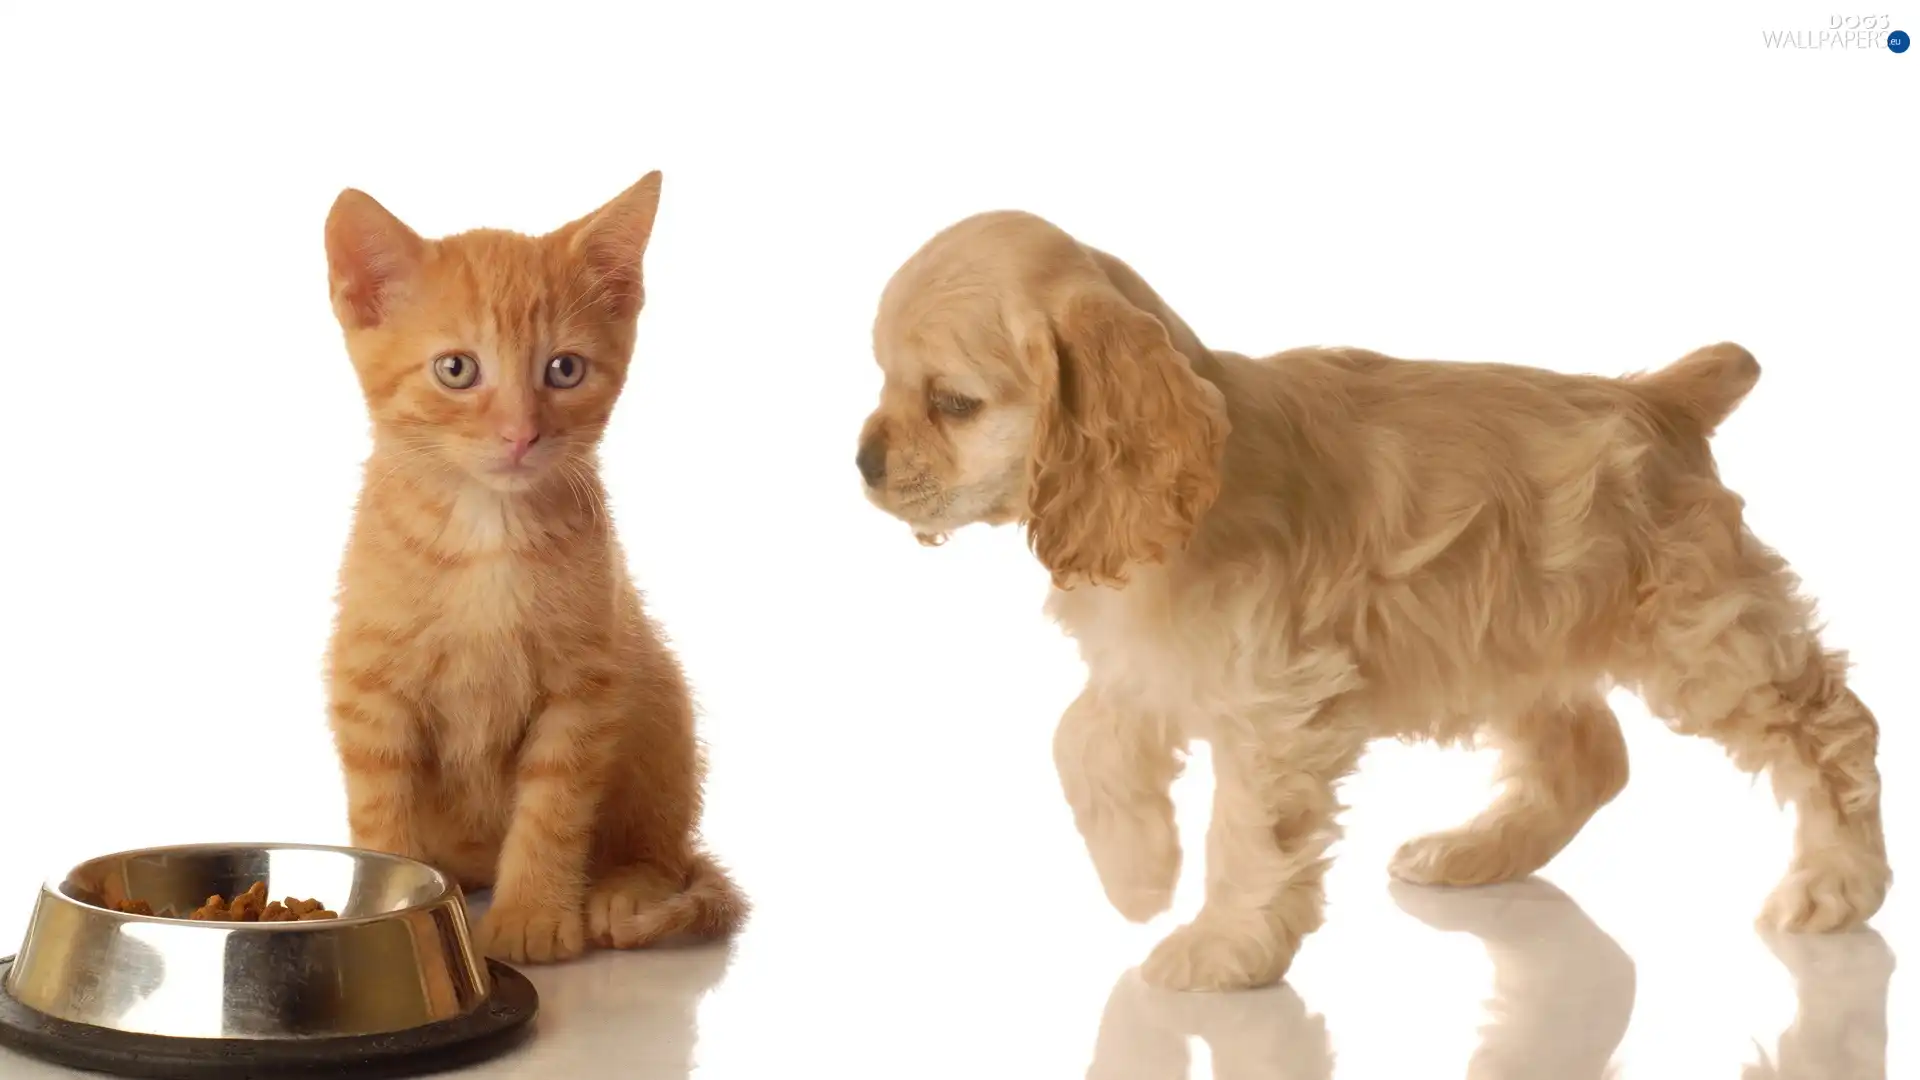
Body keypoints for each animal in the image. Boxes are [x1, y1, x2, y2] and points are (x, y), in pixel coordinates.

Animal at [322, 174, 741, 957]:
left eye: (564, 369)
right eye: (456, 369)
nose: (521, 434)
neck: (486, 529)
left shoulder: (584, 688)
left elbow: (553, 809)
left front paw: (532, 916)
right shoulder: (369, 687)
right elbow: (380, 811)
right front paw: (383, 909)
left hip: (658, 700)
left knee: (664, 848)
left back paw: (622, 889)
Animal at [856, 205, 1889, 991]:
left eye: (952, 402)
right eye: (884, 379)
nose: (862, 462)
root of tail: (1659, 398)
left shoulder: (1277, 708)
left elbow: (1247, 833)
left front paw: (1219, 949)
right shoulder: (1149, 665)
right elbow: (1078, 739)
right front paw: (1139, 875)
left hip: (1699, 632)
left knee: (1831, 726)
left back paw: (1839, 886)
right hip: (1515, 636)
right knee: (1590, 756)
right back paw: (1470, 854)